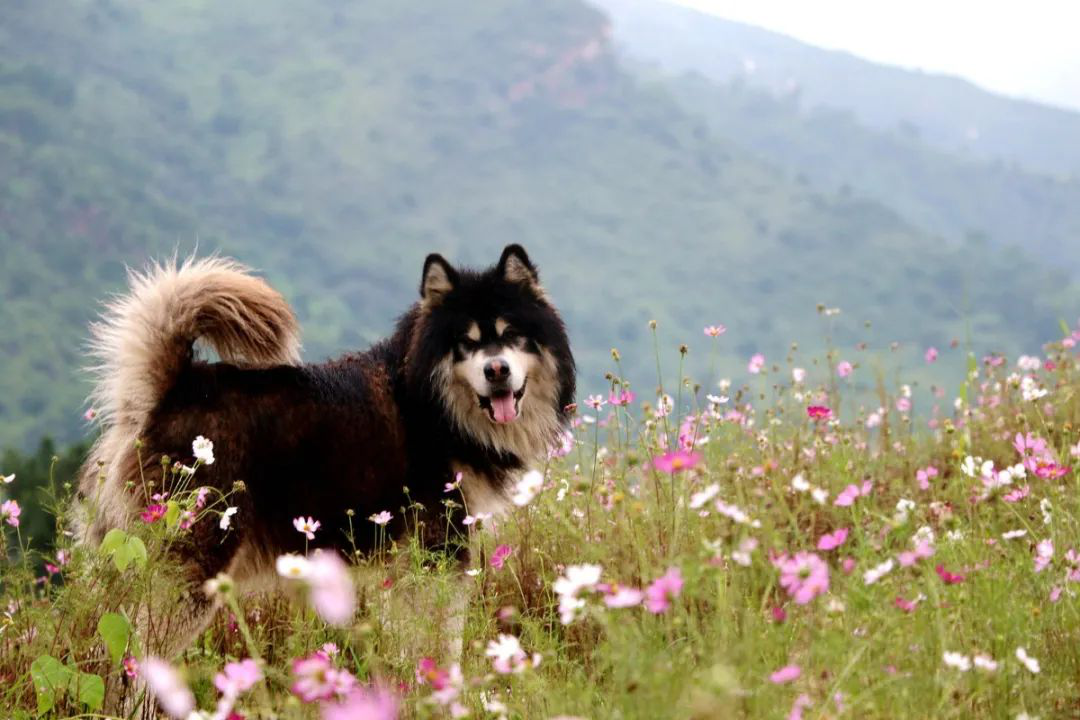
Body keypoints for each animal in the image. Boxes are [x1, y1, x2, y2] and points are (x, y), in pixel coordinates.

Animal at [76, 245, 574, 660]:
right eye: (466, 343)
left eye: (512, 335)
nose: (497, 370)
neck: (431, 404)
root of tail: (172, 391)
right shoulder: (440, 555)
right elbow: (441, 642)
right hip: (193, 570)